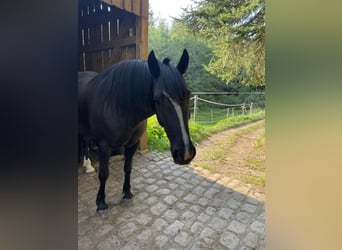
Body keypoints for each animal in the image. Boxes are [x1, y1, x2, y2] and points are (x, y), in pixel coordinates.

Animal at [78, 49, 195, 211]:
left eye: (188, 94)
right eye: (157, 99)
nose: (185, 153)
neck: (118, 105)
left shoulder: (132, 144)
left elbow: (128, 168)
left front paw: (127, 193)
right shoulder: (104, 146)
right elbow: (104, 173)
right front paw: (101, 202)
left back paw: (87, 165)